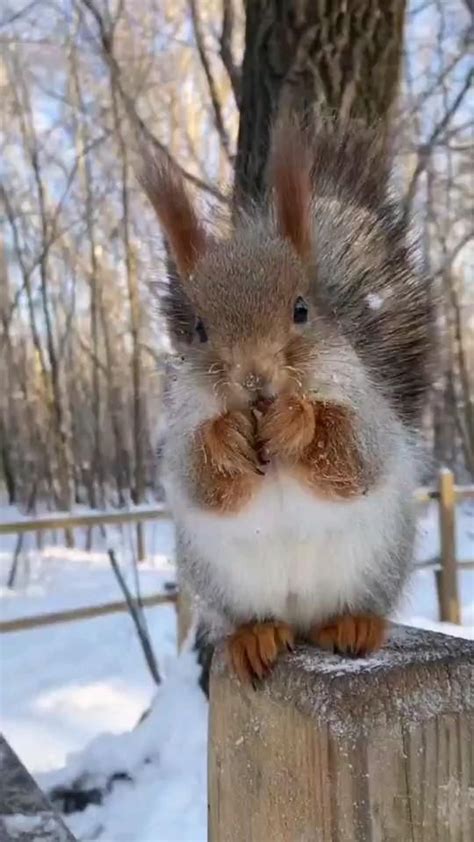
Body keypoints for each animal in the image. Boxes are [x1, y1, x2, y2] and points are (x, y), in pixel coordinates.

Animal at [140, 118, 434, 684]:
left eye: (301, 310)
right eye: (199, 329)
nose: (254, 377)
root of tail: (301, 619)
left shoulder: (366, 407)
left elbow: (353, 453)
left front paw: (297, 421)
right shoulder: (182, 427)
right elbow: (200, 477)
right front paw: (226, 437)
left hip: (376, 560)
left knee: (350, 608)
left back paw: (354, 623)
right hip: (224, 583)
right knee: (256, 619)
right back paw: (256, 636)